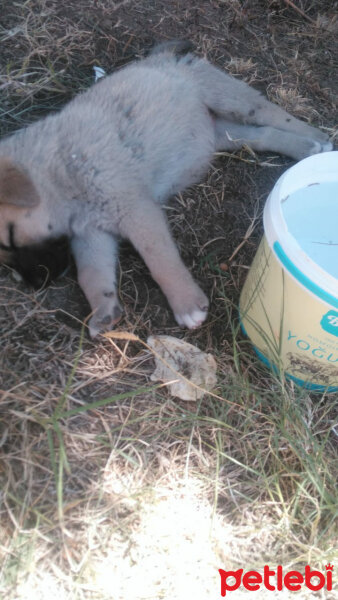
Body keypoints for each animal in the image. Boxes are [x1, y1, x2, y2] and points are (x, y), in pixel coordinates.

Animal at [0, 41, 332, 338]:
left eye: (12, 237)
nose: (35, 284)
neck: (59, 171)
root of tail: (164, 56)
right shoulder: (91, 236)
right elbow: (91, 275)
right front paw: (103, 312)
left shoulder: (136, 212)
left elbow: (159, 259)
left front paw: (186, 304)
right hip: (223, 134)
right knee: (263, 135)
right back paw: (305, 148)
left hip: (229, 98)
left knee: (272, 113)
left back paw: (316, 138)